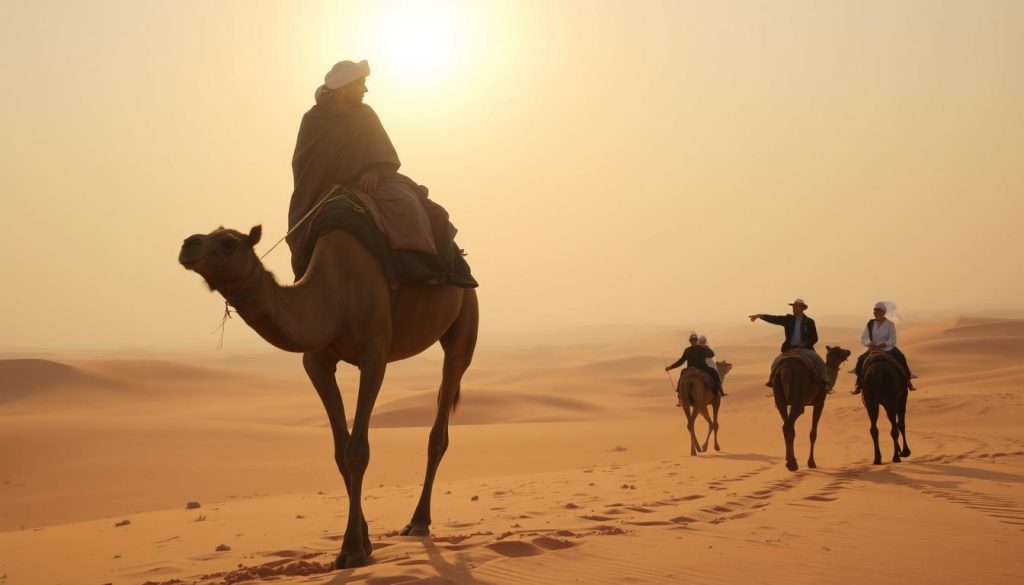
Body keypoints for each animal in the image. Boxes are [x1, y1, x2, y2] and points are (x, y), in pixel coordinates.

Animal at [178, 225, 478, 569]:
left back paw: (418, 522)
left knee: (441, 418)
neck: (333, 294)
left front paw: (352, 550)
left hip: (464, 319)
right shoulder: (316, 363)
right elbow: (339, 451)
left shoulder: (374, 353)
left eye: (228, 242)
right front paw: (365, 540)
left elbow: (357, 450)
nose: (188, 244)